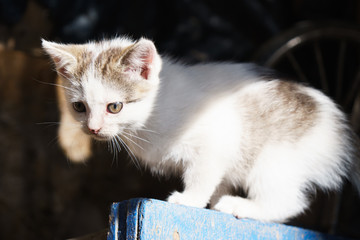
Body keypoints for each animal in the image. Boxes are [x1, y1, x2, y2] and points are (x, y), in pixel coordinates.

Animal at [43, 36, 360, 222]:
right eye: (79, 107)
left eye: (114, 107)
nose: (93, 129)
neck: (152, 114)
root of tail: (339, 131)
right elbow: (217, 180)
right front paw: (210, 199)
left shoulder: (216, 141)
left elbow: (202, 174)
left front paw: (190, 199)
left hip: (274, 158)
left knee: (288, 202)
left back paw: (241, 207)